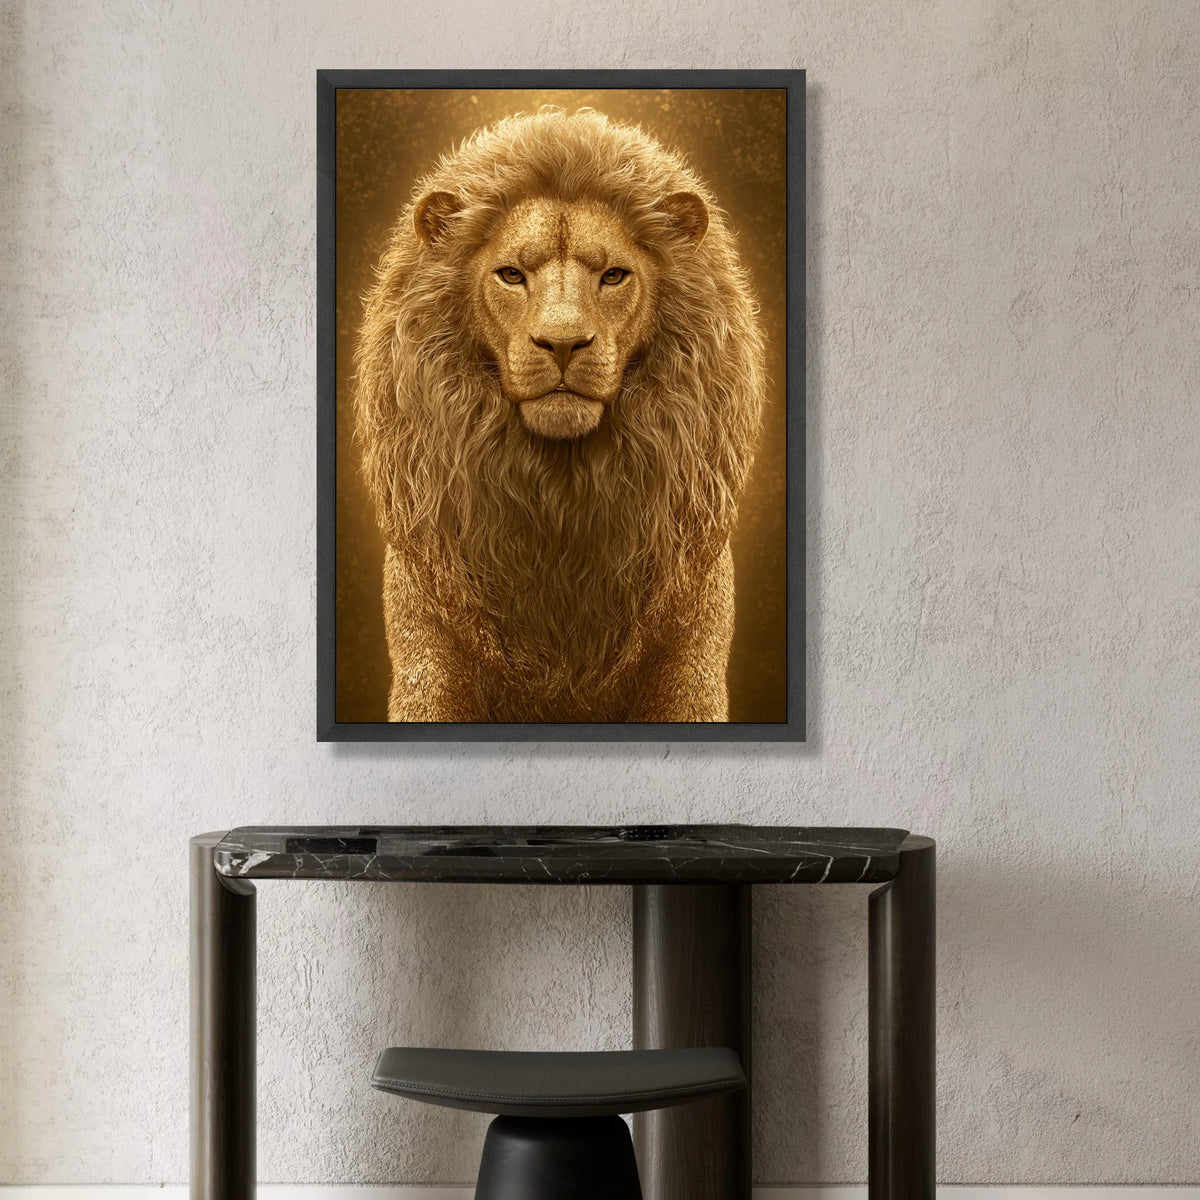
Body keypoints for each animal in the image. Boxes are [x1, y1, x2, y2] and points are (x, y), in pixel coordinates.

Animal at [353, 108, 765, 723]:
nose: (564, 343)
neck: (561, 493)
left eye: (614, 275)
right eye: (511, 274)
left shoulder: (690, 647)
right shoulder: (430, 644)